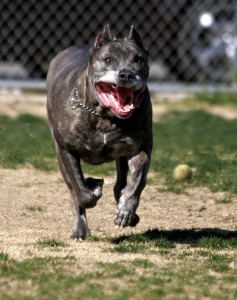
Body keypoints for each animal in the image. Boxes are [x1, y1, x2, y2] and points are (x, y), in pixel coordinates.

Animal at [46, 24, 153, 240]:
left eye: (139, 60)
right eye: (108, 59)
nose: (126, 75)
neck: (105, 116)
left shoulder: (141, 147)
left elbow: (137, 182)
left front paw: (126, 211)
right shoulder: (66, 150)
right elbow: (81, 192)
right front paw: (92, 188)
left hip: (122, 156)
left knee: (121, 182)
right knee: (74, 192)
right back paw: (80, 229)